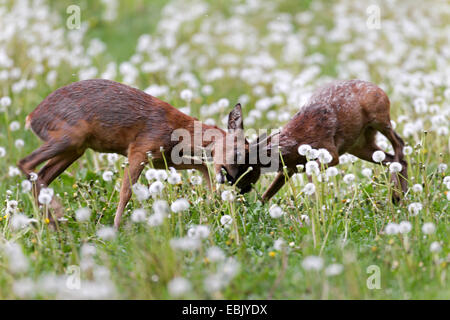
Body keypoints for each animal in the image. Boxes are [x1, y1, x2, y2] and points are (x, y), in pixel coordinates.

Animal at [18, 78, 256, 228]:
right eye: (238, 153)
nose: (242, 187)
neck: (179, 131)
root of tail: (31, 117)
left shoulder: (160, 158)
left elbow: (201, 164)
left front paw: (212, 200)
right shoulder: (140, 150)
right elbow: (126, 192)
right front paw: (115, 229)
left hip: (75, 148)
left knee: (41, 174)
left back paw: (52, 225)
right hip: (70, 136)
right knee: (25, 163)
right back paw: (56, 215)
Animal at [225, 79, 408, 201]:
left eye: (244, 165)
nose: (237, 188)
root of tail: (379, 88)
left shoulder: (330, 153)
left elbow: (310, 175)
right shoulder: (287, 170)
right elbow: (267, 195)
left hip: (380, 119)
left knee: (399, 145)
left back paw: (397, 196)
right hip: (359, 145)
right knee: (391, 159)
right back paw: (401, 196)